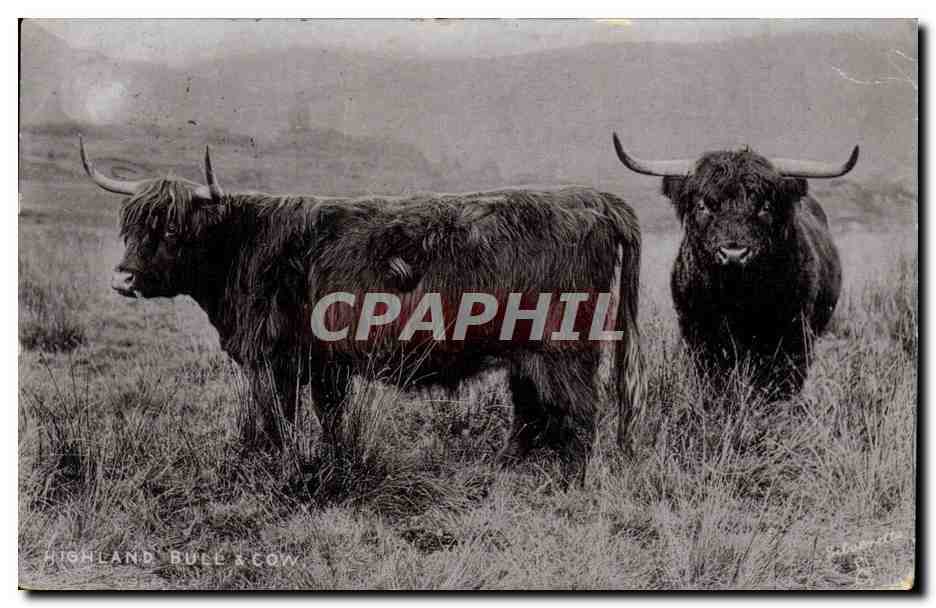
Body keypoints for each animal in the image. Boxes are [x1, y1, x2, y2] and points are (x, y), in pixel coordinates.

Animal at [79, 137, 643, 483]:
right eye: (131, 227)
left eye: (172, 229)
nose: (123, 278)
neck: (243, 245)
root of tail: (595, 198)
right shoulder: (323, 363)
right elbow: (326, 417)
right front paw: (327, 462)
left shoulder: (273, 360)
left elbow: (271, 419)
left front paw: (266, 466)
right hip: (526, 352)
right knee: (531, 412)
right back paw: (506, 470)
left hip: (563, 348)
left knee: (579, 415)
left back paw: (572, 482)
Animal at [612, 133, 853, 398]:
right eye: (703, 206)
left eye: (765, 206)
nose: (734, 253)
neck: (737, 297)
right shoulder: (699, 333)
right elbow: (714, 379)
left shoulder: (794, 335)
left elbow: (781, 381)